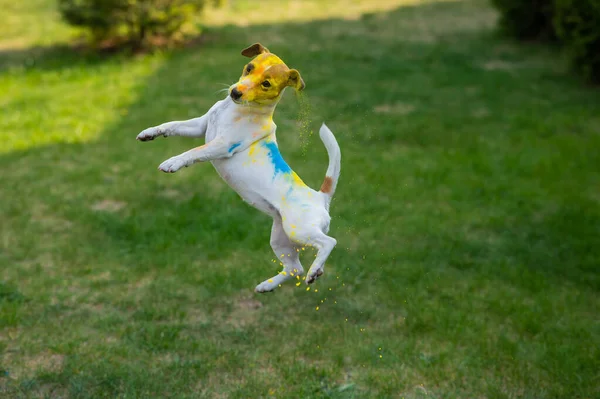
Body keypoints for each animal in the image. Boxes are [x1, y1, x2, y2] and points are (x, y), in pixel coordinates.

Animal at [137, 43, 342, 294]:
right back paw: (267, 285)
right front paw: (150, 133)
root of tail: (321, 197)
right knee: (295, 268)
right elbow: (172, 125)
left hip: (300, 230)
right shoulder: (199, 126)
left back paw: (315, 270)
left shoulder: (222, 145)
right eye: (249, 68)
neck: (235, 110)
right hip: (281, 238)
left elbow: (194, 152)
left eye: (266, 84)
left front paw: (173, 162)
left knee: (328, 243)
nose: (235, 92)